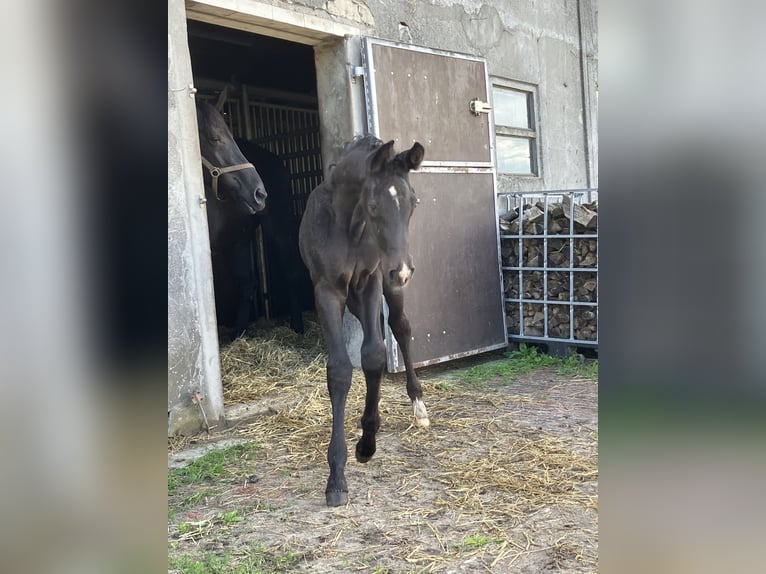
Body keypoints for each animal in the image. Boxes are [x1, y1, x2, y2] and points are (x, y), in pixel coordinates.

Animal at [300, 136, 428, 508]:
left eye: (413, 202)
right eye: (372, 205)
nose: (403, 270)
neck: (349, 226)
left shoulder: (370, 281)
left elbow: (373, 354)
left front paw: (367, 443)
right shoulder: (327, 290)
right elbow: (341, 370)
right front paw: (337, 478)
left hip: (387, 287)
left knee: (401, 327)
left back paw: (418, 404)